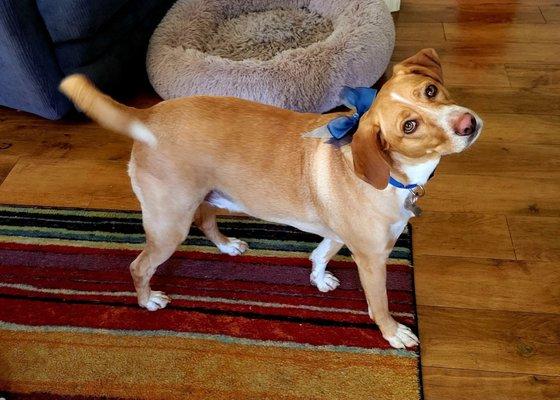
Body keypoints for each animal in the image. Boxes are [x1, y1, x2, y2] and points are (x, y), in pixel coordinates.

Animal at [60, 48, 482, 348]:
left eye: (430, 91)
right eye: (409, 126)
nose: (468, 123)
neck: (394, 174)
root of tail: (147, 116)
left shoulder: (340, 234)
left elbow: (320, 254)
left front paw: (319, 279)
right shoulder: (372, 258)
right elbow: (378, 305)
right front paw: (394, 333)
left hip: (205, 198)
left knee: (206, 220)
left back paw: (227, 246)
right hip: (168, 226)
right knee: (139, 266)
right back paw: (147, 301)